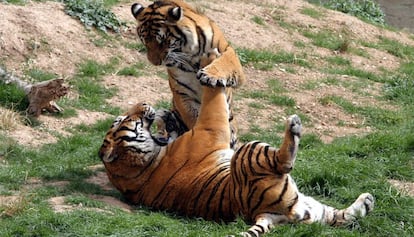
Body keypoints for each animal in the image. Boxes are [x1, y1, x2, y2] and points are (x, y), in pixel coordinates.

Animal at [98, 74, 376, 235]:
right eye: (124, 119)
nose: (144, 104)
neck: (143, 165)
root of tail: (264, 214)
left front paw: (168, 116)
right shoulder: (210, 127)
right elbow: (214, 101)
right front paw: (212, 75)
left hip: (313, 209)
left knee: (339, 218)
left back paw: (366, 202)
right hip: (249, 150)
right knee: (284, 162)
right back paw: (294, 127)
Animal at [131, 0, 244, 148]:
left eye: (162, 41)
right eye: (144, 41)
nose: (154, 62)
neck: (191, 54)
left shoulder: (228, 52)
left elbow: (225, 62)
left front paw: (210, 76)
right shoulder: (182, 94)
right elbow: (194, 118)